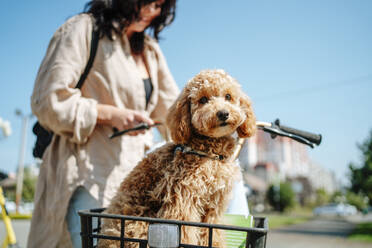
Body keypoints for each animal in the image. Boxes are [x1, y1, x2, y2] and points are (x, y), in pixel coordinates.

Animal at [98, 69, 256, 247]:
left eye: (228, 96)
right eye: (203, 100)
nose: (223, 113)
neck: (209, 153)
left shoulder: (213, 208)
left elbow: (213, 235)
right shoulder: (182, 202)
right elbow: (185, 236)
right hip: (140, 226)